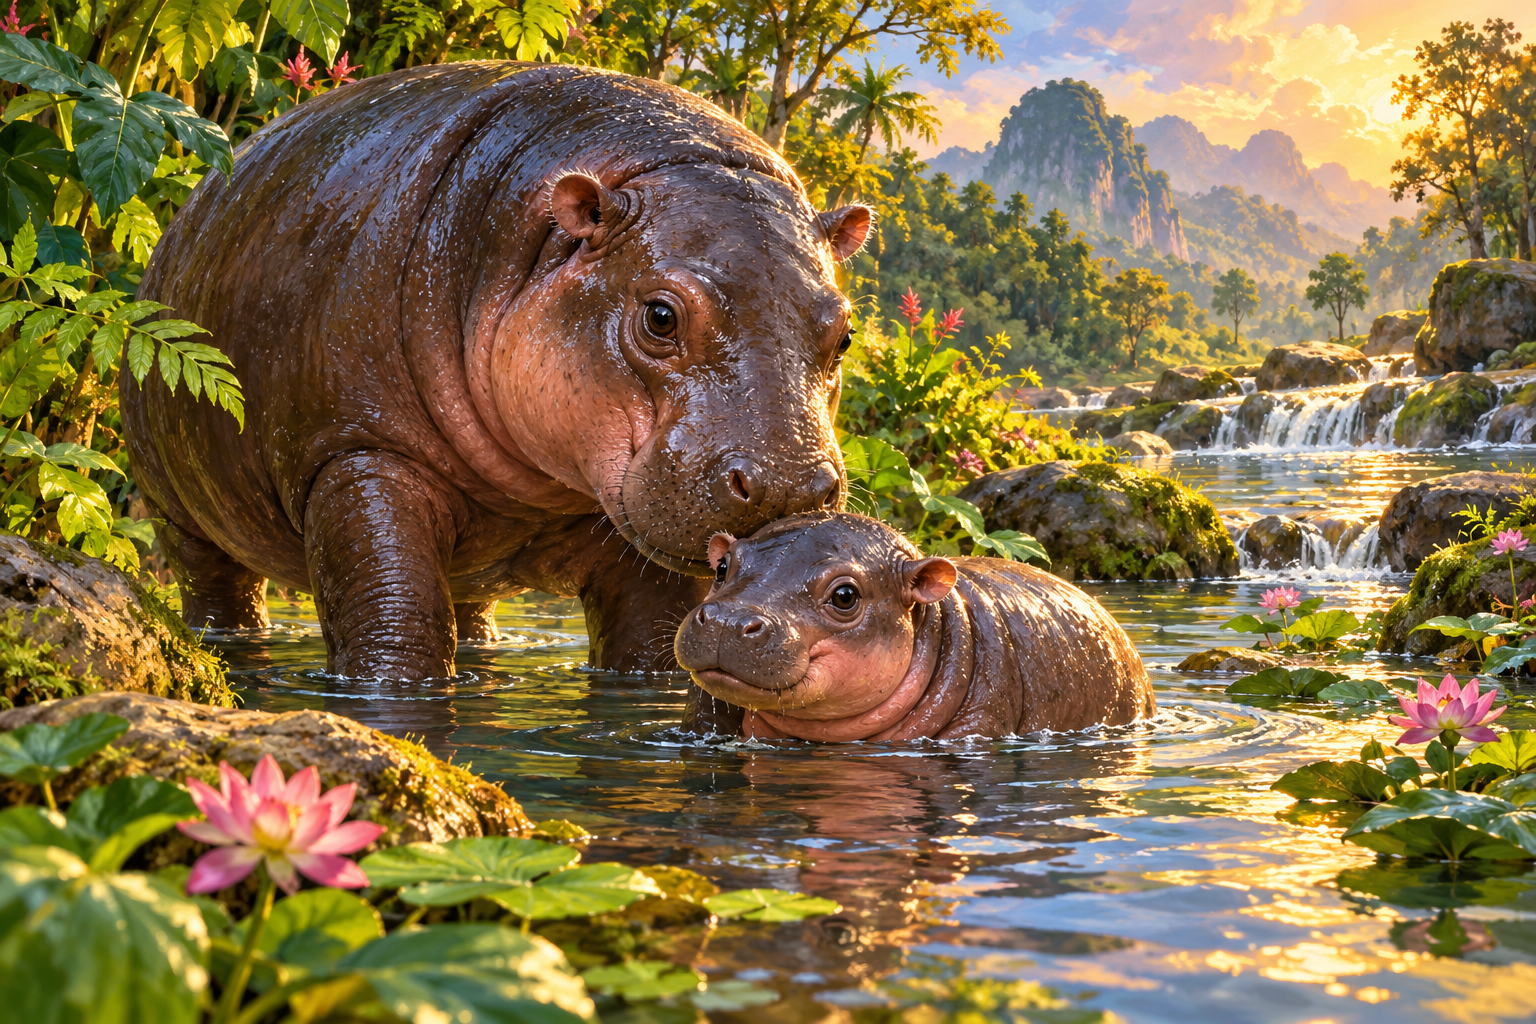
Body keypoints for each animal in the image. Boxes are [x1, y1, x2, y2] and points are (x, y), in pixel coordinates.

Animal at [123, 62, 871, 679]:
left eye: (845, 334)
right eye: (660, 316)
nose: (789, 487)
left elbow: (653, 644)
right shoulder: (356, 453)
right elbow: (396, 626)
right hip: (178, 514)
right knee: (217, 587)